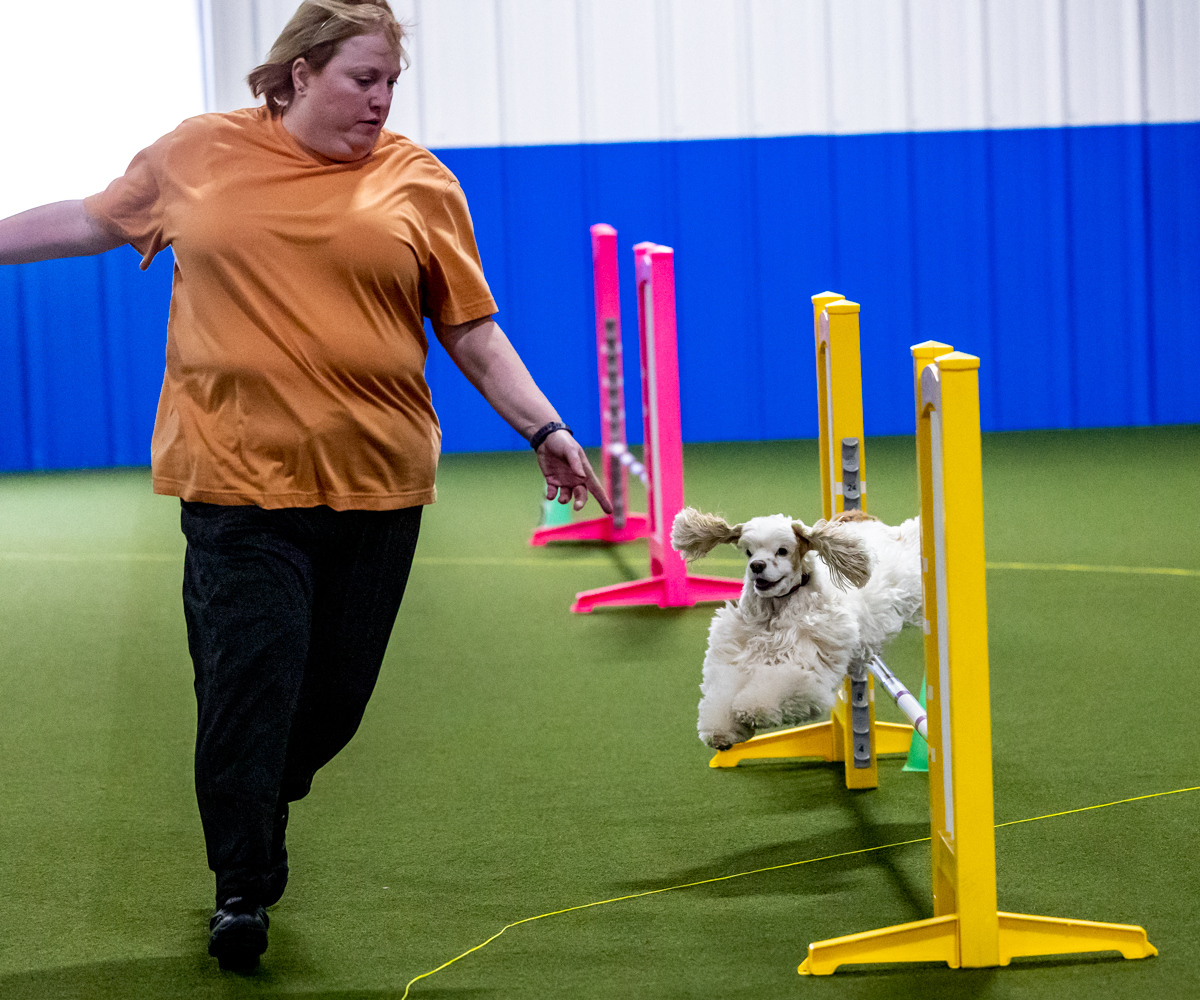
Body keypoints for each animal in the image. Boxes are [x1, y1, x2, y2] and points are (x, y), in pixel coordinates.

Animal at [671, 507, 923, 750]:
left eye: (782, 551)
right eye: (749, 552)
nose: (757, 566)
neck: (776, 609)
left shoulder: (804, 660)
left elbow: (773, 689)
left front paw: (752, 710)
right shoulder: (735, 653)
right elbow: (722, 694)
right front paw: (723, 732)